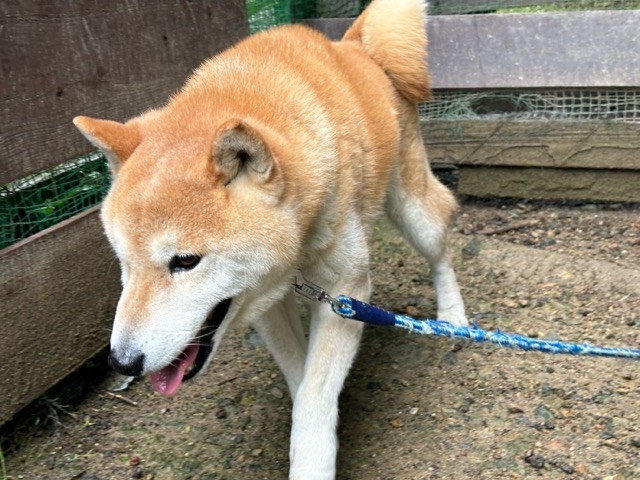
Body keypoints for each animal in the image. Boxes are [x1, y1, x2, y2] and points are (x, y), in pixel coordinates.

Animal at [74, 0, 466, 477]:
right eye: (123, 262)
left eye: (185, 261)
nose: (122, 361)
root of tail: (356, 44)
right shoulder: (262, 297)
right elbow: (304, 382)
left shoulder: (346, 293)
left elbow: (315, 395)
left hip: (412, 209)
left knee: (441, 247)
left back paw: (453, 317)